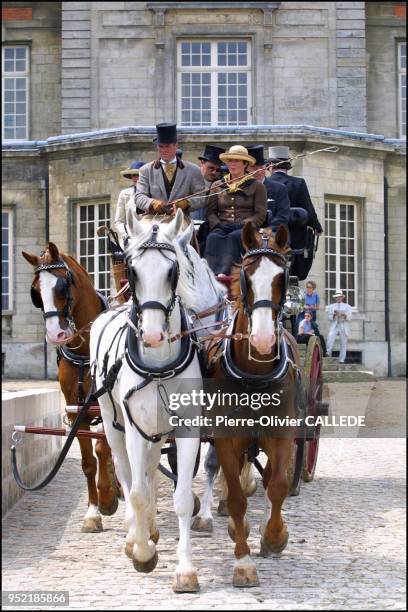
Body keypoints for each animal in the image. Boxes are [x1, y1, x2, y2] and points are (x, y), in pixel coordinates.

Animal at [22, 243, 118, 532]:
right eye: (36, 291)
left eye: (63, 286)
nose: (56, 335)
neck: (86, 351)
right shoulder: (77, 411)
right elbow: (88, 461)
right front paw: (93, 512)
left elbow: (102, 449)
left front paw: (106, 497)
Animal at [89, 208, 225, 592]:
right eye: (132, 270)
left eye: (172, 271)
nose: (151, 335)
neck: (161, 365)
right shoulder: (135, 427)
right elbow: (135, 491)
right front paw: (142, 553)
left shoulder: (187, 428)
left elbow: (181, 497)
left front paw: (186, 569)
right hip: (114, 424)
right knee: (127, 474)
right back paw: (135, 534)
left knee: (148, 473)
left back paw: (148, 528)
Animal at [207, 221, 300, 588]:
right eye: (246, 277)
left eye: (282, 277)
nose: (262, 340)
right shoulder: (225, 437)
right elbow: (236, 498)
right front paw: (243, 562)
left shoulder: (282, 434)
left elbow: (278, 486)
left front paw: (274, 537)